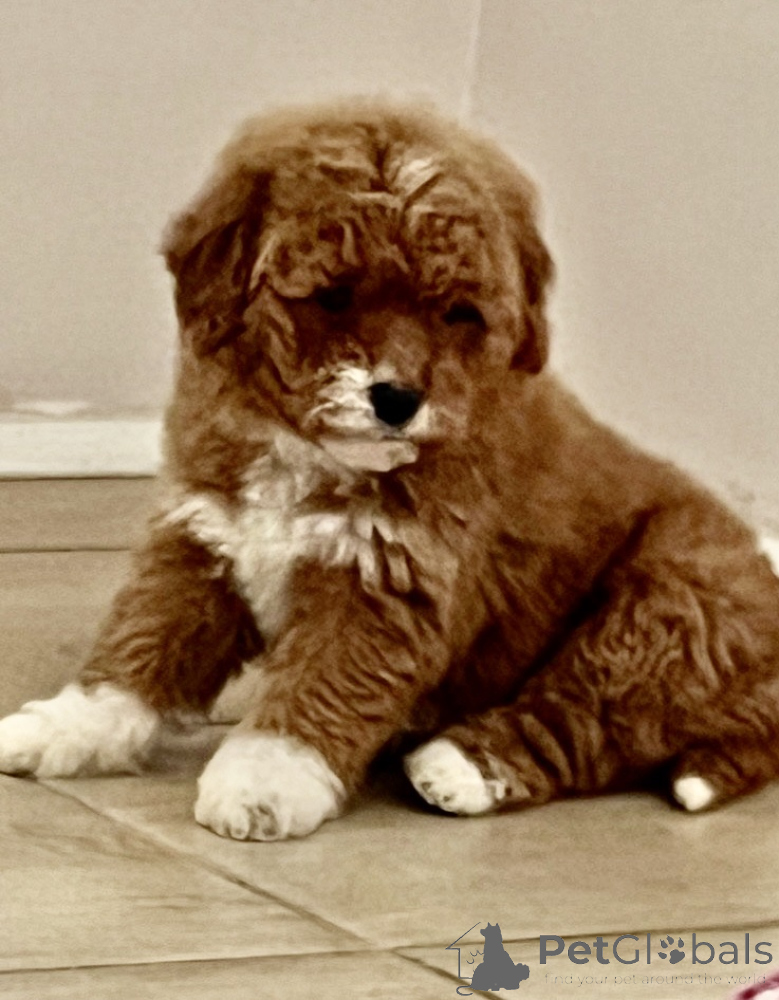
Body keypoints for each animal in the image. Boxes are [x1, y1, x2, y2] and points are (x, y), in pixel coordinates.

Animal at [1, 98, 778, 841]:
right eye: (334, 296)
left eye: (456, 314)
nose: (399, 399)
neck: (309, 452)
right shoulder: (201, 543)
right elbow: (139, 644)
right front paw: (67, 726)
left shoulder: (387, 583)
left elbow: (321, 686)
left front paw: (265, 780)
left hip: (667, 610)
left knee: (582, 713)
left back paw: (458, 764)